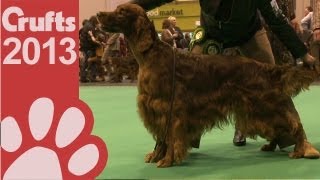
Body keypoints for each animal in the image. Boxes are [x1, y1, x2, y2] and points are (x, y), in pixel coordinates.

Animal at [97, 3, 320, 167]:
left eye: (121, 12)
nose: (98, 14)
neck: (151, 55)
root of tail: (264, 67)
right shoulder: (154, 107)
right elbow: (161, 137)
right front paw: (156, 156)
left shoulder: (169, 107)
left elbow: (170, 135)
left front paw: (167, 160)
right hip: (259, 109)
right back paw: (273, 146)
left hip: (266, 104)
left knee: (295, 124)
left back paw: (303, 150)